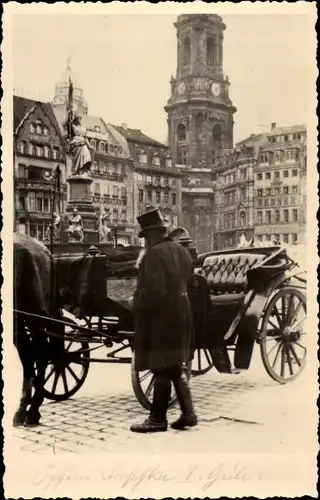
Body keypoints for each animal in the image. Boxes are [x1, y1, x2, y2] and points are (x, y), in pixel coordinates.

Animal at [12, 233, 62, 426]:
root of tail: (44, 249)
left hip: (35, 314)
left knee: (41, 352)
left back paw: (32, 410)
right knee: (29, 353)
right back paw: (24, 408)